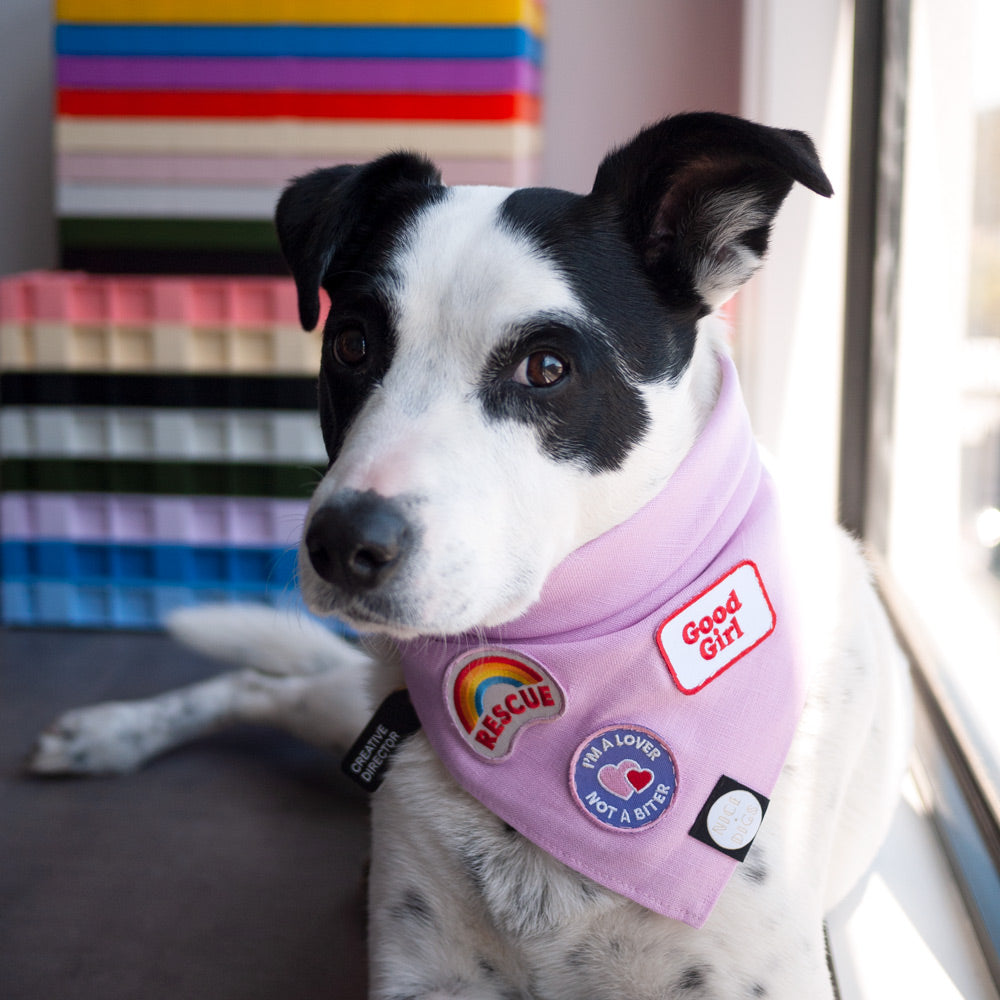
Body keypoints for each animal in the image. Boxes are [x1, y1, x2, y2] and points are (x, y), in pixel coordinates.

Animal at [31, 115, 912, 1000]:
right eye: (351, 344)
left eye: (547, 367)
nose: (340, 544)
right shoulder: (425, 973)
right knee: (261, 684)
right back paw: (110, 733)